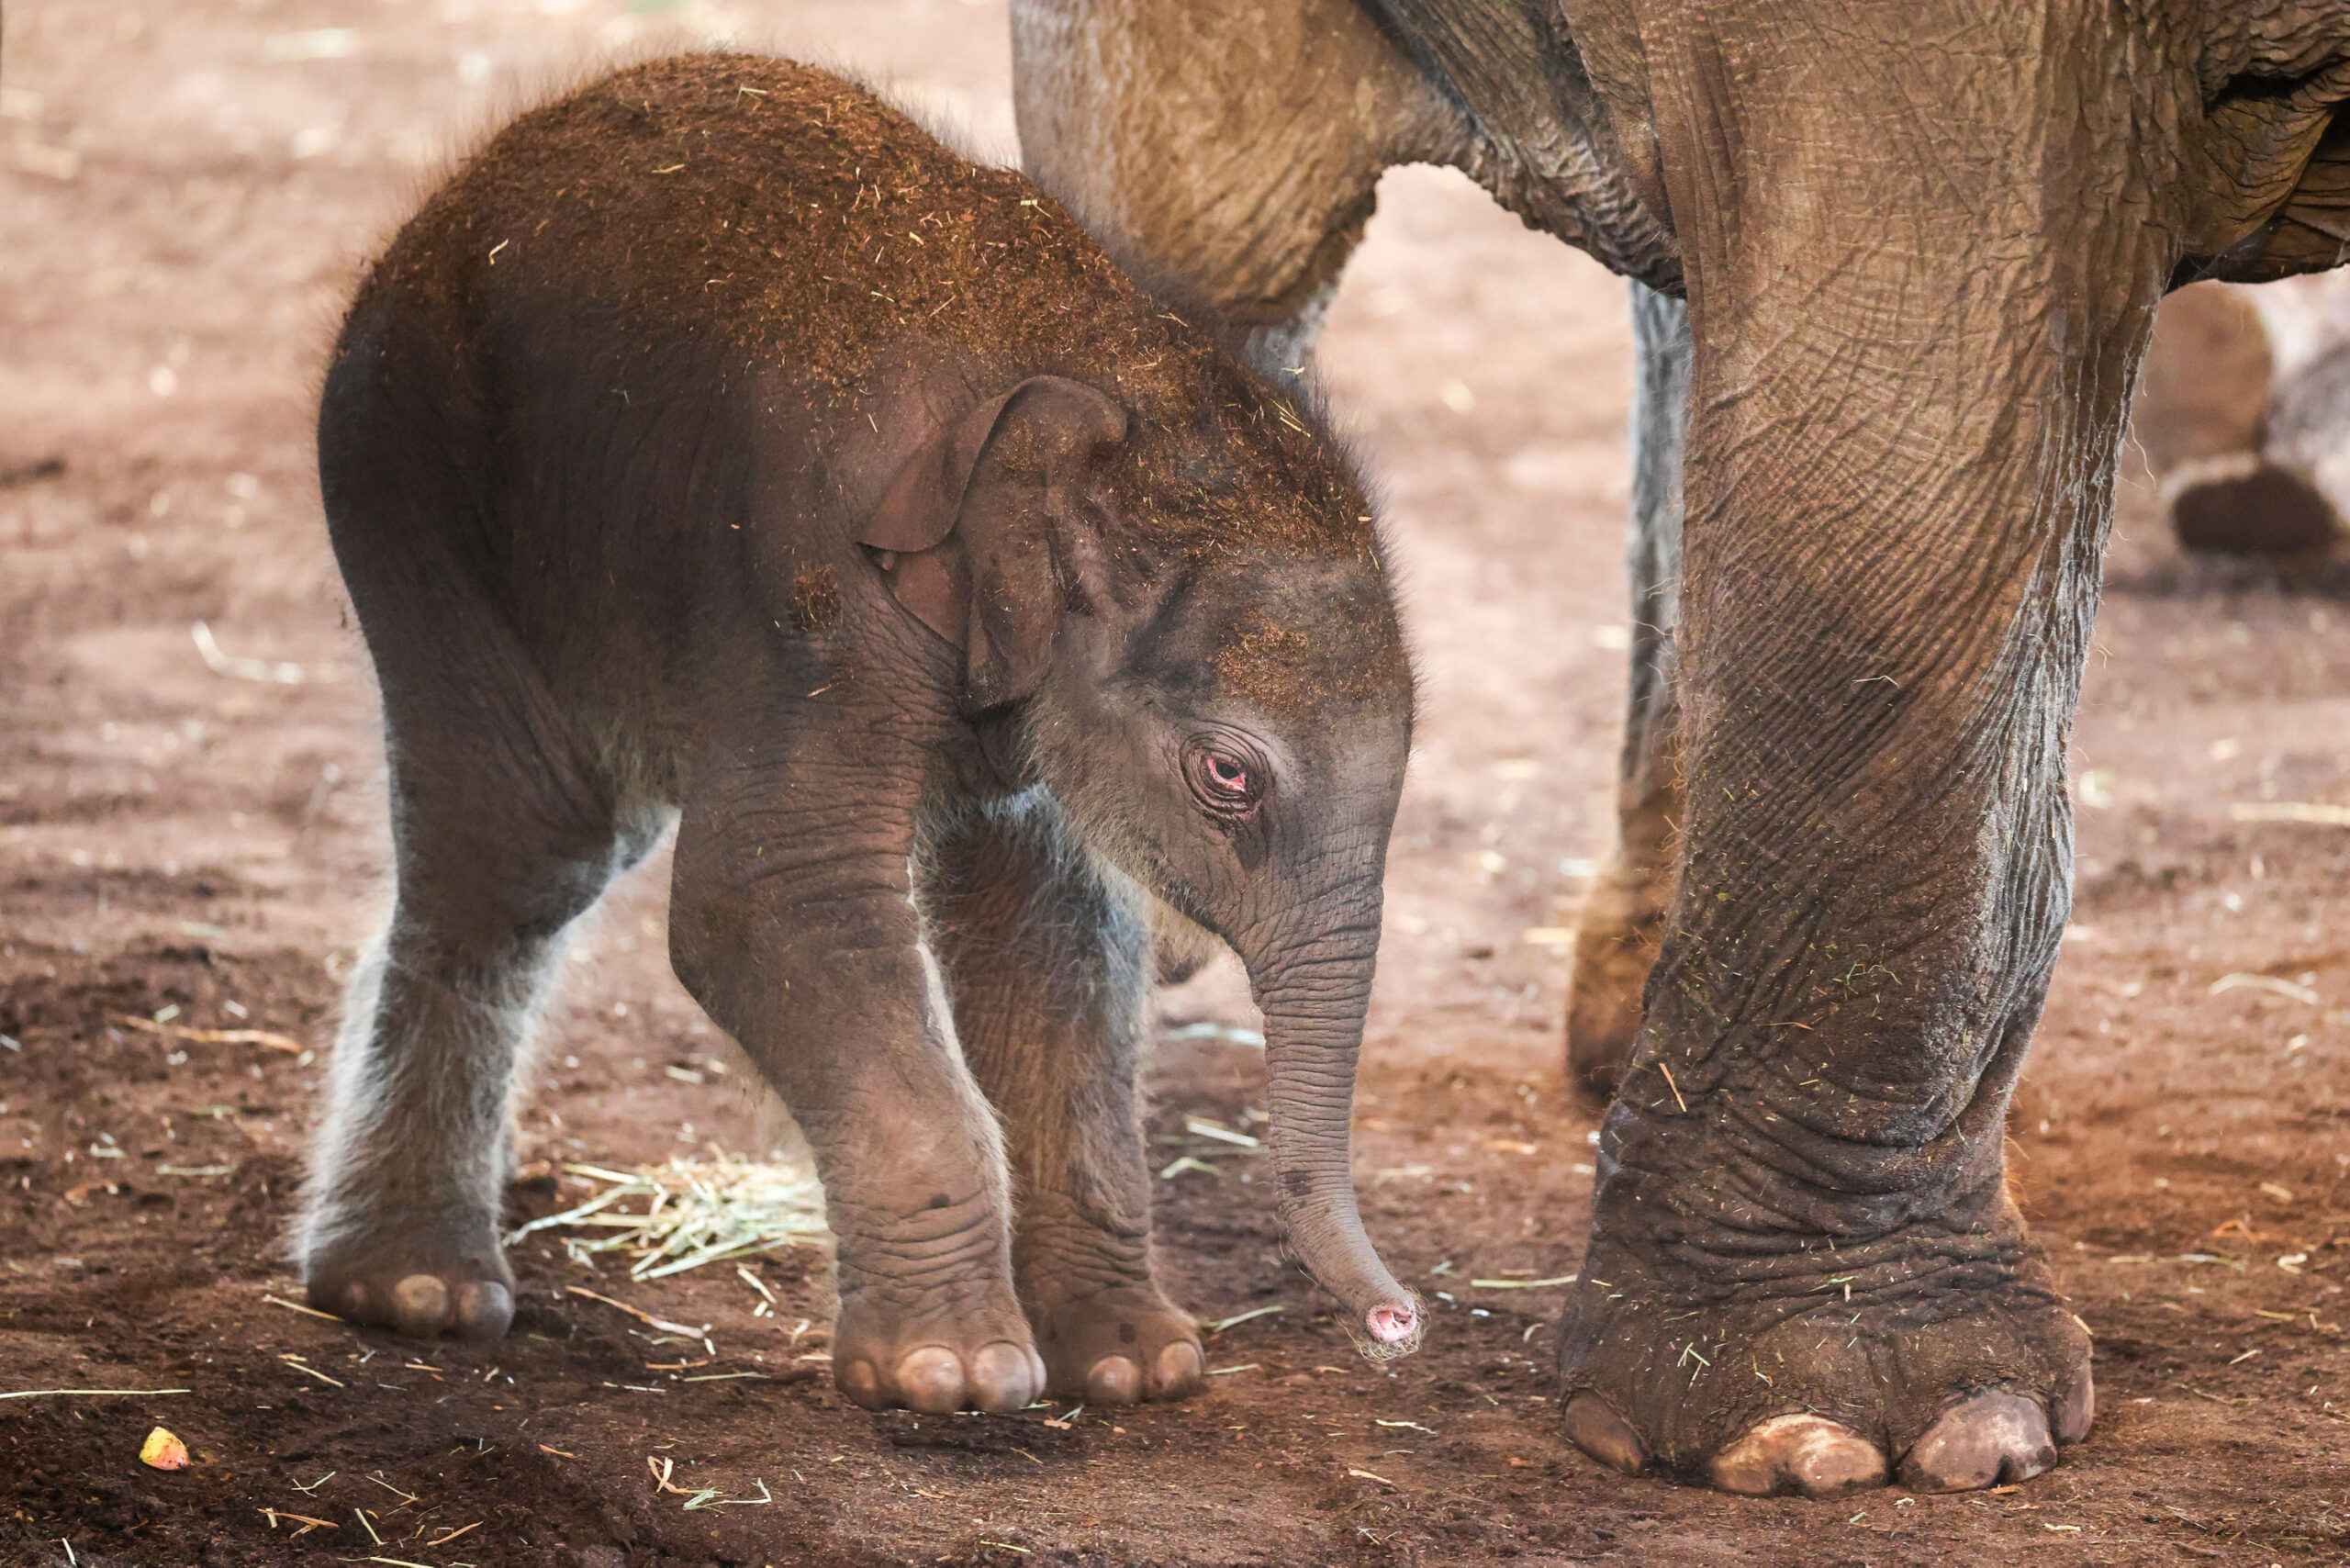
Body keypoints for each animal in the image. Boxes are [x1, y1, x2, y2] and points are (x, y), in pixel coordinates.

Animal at [303, 55, 1419, 1419]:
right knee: (525, 856)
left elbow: (1047, 935)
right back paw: (414, 1295)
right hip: (409, 475)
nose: (1398, 1323)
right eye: (1228, 774)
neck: (1111, 386)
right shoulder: (818, 595)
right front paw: (957, 1376)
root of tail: (459, 189)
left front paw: (1132, 1366)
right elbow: (768, 904)